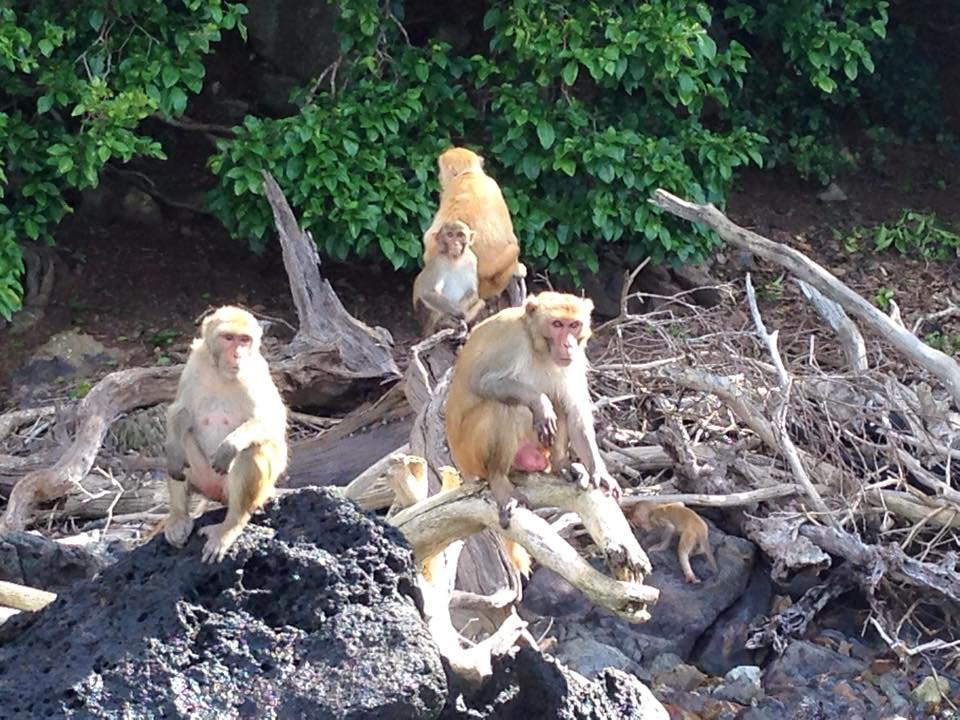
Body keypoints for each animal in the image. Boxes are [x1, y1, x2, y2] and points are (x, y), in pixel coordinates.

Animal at [164, 306, 288, 563]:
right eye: (229, 338)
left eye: (244, 340)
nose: (237, 355)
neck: (221, 372)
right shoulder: (194, 364)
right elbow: (180, 411)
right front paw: (174, 450)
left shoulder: (256, 373)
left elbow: (272, 422)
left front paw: (230, 445)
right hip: (203, 478)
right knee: (183, 440)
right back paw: (179, 517)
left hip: (248, 490)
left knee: (253, 450)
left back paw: (230, 526)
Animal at [445, 291, 620, 529]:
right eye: (557, 324)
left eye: (574, 325)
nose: (568, 345)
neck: (538, 347)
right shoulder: (512, 340)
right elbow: (482, 382)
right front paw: (539, 402)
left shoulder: (575, 359)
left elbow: (575, 413)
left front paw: (599, 472)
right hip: (471, 455)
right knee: (502, 407)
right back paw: (499, 479)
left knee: (558, 400)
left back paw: (560, 465)